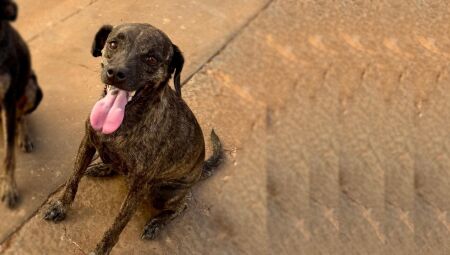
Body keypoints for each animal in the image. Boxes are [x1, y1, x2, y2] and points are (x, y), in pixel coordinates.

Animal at [44, 22, 223, 254]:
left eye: (151, 59)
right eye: (113, 44)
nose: (115, 73)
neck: (124, 121)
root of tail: (200, 170)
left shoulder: (139, 186)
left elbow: (117, 225)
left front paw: (101, 249)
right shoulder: (88, 141)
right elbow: (73, 179)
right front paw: (61, 206)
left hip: (160, 192)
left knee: (182, 204)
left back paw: (157, 223)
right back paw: (104, 167)